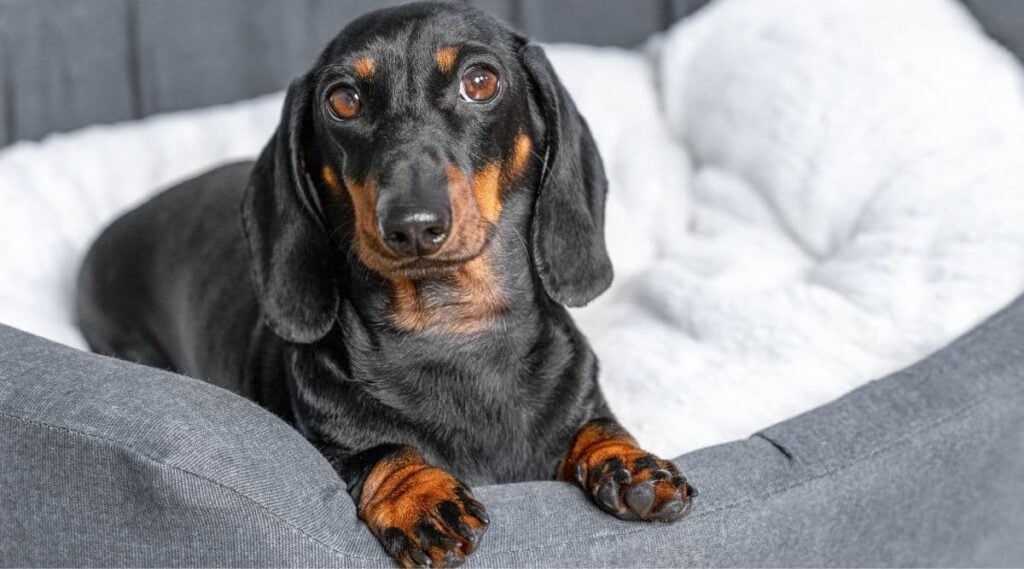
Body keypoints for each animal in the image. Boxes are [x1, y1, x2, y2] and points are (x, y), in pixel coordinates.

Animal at [74, 3, 696, 564]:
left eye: (480, 81)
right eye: (342, 100)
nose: (413, 225)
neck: (452, 330)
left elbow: (596, 427)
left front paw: (630, 463)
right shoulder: (323, 442)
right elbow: (381, 448)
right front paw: (420, 496)